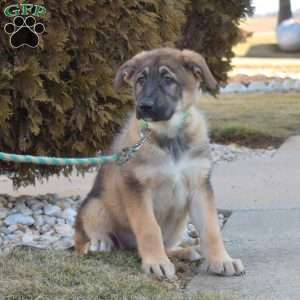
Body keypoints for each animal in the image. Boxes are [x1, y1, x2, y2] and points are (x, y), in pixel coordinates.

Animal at [74, 48, 244, 280]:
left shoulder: (200, 187)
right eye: (140, 80)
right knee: (84, 237)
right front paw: (156, 262)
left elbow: (211, 229)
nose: (144, 106)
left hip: (178, 222)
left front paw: (222, 260)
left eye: (168, 79)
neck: (170, 136)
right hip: (94, 206)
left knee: (167, 245)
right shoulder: (137, 187)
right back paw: (100, 243)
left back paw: (186, 251)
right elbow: (149, 228)